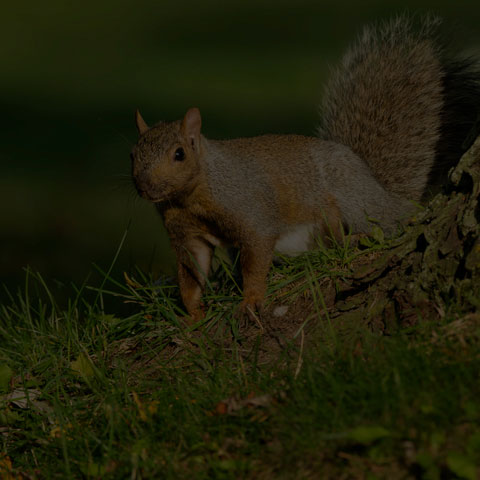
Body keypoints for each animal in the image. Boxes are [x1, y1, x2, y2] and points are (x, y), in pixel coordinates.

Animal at [129, 15, 480, 322]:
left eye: (179, 154)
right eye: (132, 154)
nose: (144, 187)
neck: (192, 195)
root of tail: (377, 185)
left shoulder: (251, 211)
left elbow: (256, 256)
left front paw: (251, 300)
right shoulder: (186, 233)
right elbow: (192, 272)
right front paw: (192, 315)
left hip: (351, 199)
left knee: (372, 225)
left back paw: (358, 237)